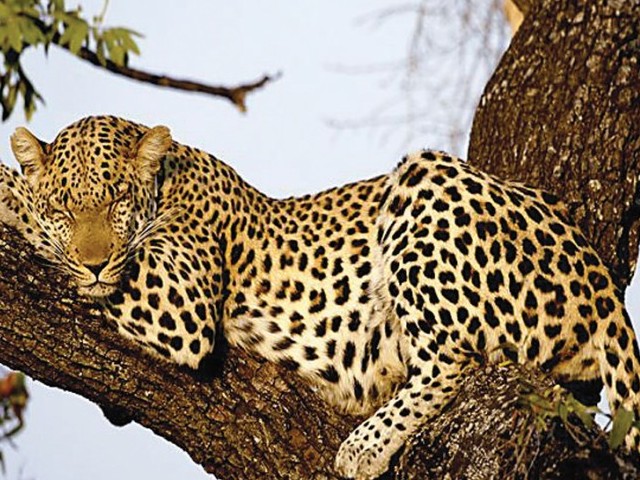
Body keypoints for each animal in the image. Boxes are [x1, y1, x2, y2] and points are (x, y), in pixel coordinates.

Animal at [1, 115, 639, 479]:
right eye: (65, 207)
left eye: (114, 203)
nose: (94, 262)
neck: (173, 177)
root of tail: (600, 280)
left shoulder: (181, 304)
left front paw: (9, 194)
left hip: (423, 180)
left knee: (452, 361)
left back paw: (363, 447)